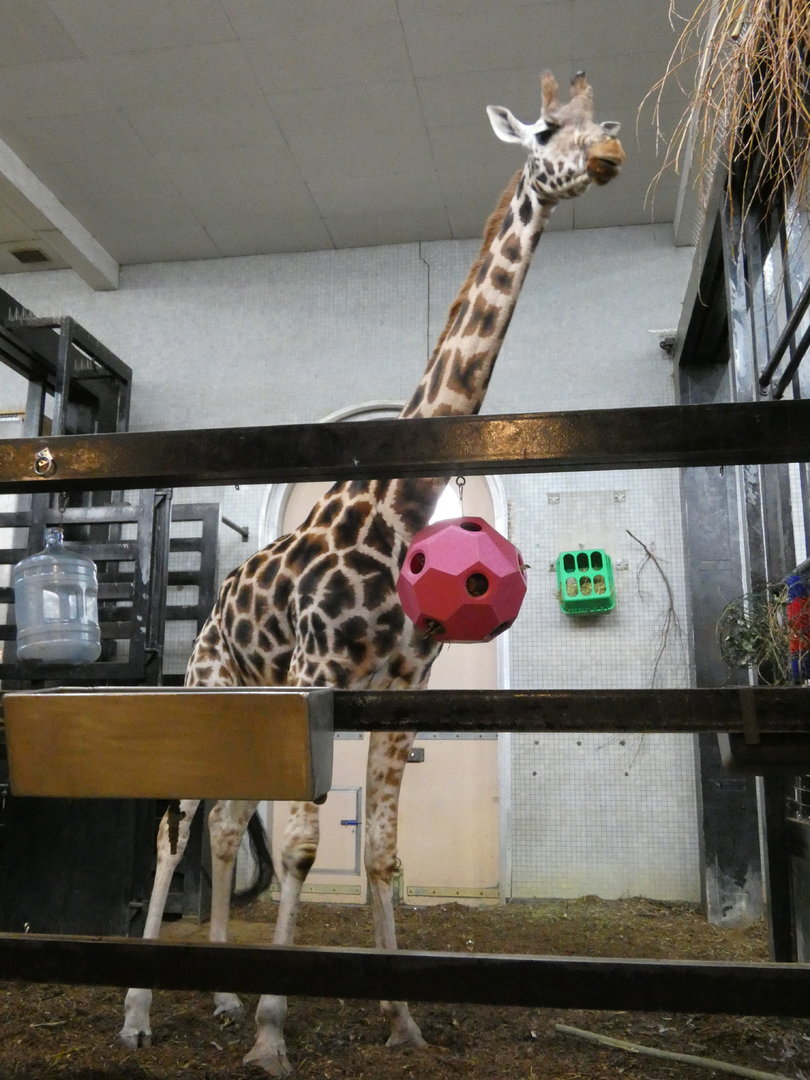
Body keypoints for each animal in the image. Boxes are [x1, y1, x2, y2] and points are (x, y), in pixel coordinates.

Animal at [119, 71, 624, 1076]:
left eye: (604, 120)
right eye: (545, 130)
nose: (605, 157)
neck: (395, 507)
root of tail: (210, 616)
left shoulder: (401, 690)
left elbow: (384, 851)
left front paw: (402, 1019)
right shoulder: (319, 676)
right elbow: (307, 849)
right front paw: (276, 1034)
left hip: (250, 710)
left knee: (226, 827)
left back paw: (222, 995)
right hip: (209, 692)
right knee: (174, 827)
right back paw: (139, 1013)